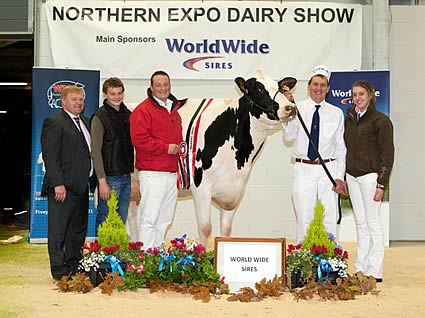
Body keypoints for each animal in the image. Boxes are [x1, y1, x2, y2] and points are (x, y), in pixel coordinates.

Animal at [176, 70, 294, 243]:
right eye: (258, 89)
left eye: (280, 87)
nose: (290, 107)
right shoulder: (200, 186)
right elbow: (205, 229)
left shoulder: (233, 191)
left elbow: (226, 230)